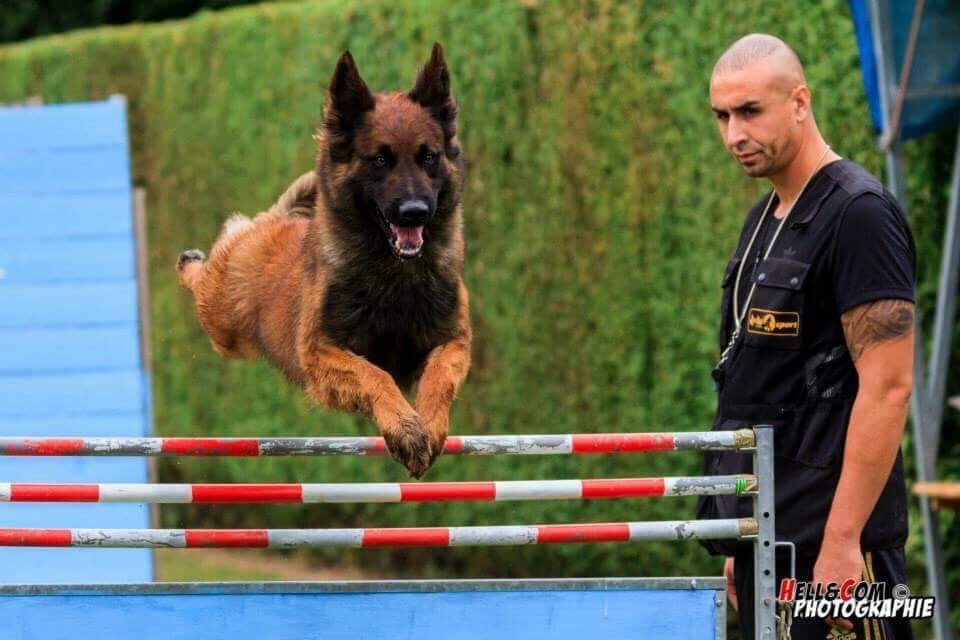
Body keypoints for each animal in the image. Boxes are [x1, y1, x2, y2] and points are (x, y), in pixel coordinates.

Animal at [178, 43, 470, 476]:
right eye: (379, 160)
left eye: (428, 157)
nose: (414, 212)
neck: (392, 274)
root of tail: (283, 219)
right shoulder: (321, 355)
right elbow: (374, 375)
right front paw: (405, 429)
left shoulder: (454, 342)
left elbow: (439, 377)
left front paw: (429, 426)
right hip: (223, 322)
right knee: (213, 262)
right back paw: (190, 261)